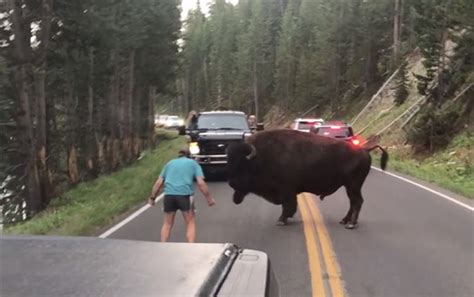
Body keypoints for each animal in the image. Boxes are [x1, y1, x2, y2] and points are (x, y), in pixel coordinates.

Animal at [227, 128, 388, 228]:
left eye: (242, 165)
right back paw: (344, 221)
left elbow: (288, 206)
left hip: (353, 185)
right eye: (230, 162)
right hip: (350, 186)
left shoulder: (286, 191)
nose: (232, 183)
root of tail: (364, 149)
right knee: (353, 202)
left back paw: (351, 224)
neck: (261, 157)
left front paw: (281, 220)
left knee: (357, 202)